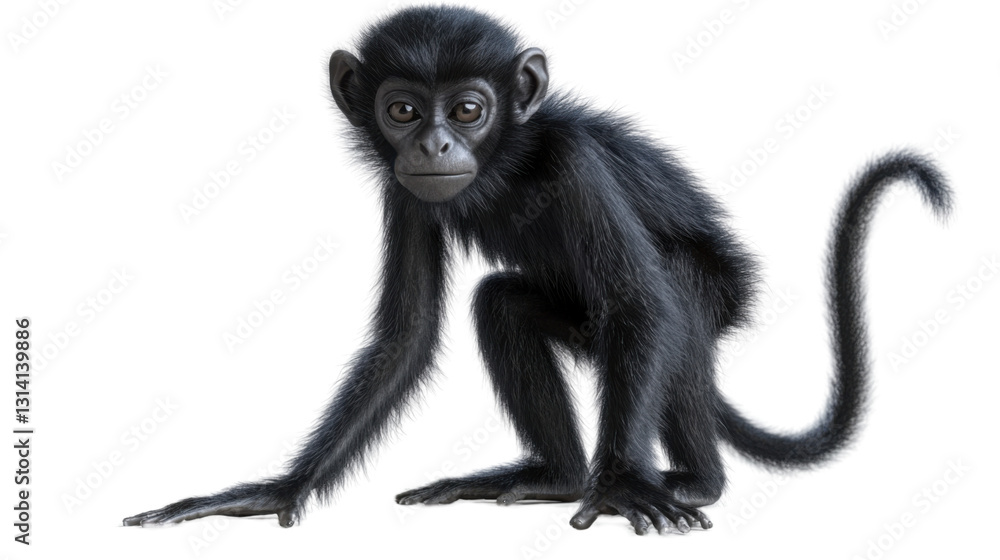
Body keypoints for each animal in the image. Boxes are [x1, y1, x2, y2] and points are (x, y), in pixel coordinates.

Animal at [123, 6, 952, 535]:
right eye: (402, 111)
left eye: (467, 110)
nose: (433, 147)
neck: (507, 165)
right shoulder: (404, 192)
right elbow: (406, 337)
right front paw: (275, 490)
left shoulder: (573, 163)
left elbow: (641, 305)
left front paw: (620, 487)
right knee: (501, 303)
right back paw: (554, 477)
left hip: (720, 294)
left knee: (676, 293)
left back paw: (685, 480)